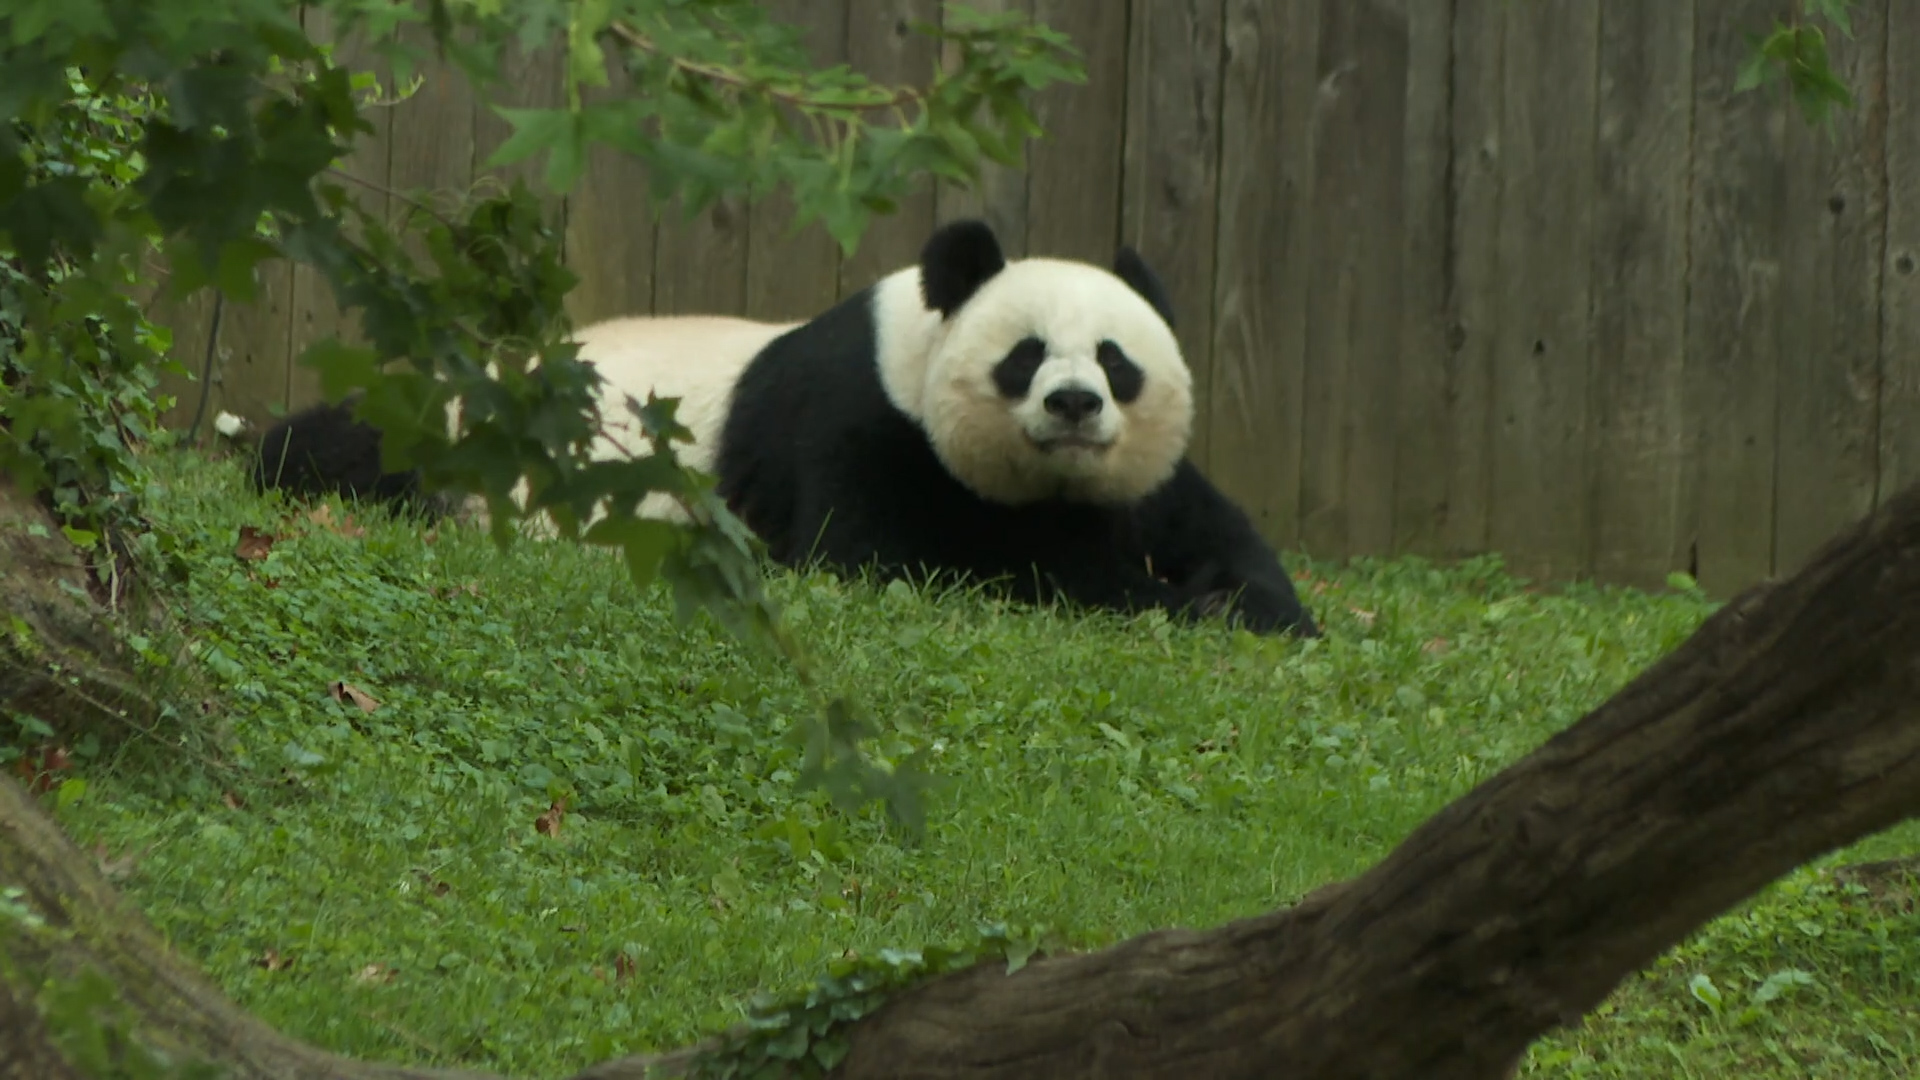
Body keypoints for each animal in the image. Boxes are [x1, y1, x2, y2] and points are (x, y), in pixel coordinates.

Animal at [714, 220, 1328, 638]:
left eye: (1114, 360)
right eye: (1027, 355)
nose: (1075, 402)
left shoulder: (1146, 487)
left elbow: (1219, 533)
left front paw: (1246, 605)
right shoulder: (855, 421)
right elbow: (875, 557)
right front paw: (1176, 602)